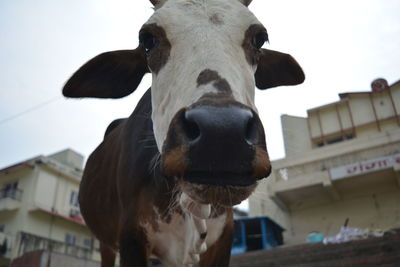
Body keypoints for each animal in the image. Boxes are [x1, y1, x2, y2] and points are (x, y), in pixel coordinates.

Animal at [62, 0, 304, 267]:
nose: (222, 133)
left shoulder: (223, 239)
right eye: (147, 39)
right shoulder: (131, 236)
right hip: (106, 242)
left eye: (259, 39)